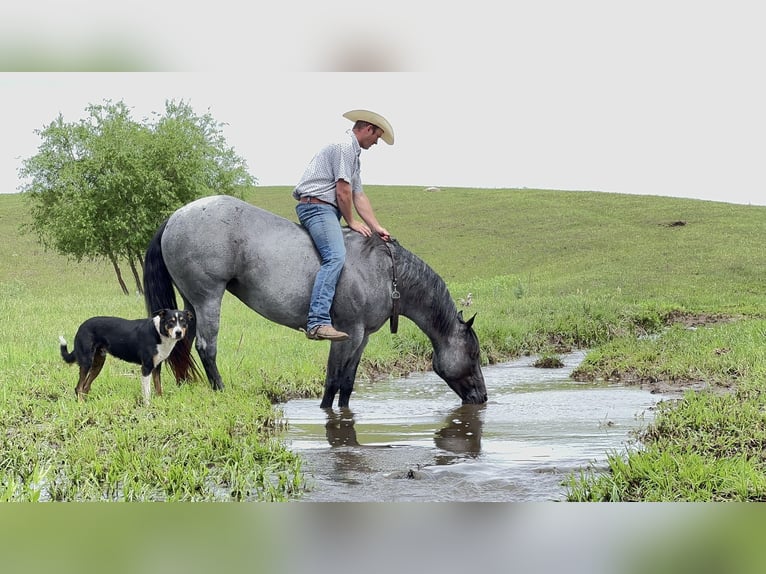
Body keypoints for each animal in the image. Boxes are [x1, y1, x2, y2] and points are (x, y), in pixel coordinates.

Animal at [59, 308, 194, 408]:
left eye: (183, 322)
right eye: (171, 321)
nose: (178, 333)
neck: (159, 333)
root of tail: (81, 326)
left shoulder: (156, 367)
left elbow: (158, 388)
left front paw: (160, 402)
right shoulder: (146, 367)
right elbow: (147, 392)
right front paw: (148, 407)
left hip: (98, 363)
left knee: (85, 387)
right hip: (86, 362)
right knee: (79, 387)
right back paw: (81, 405)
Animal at [146, 197, 486, 410]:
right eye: (474, 353)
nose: (482, 396)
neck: (384, 272)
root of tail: (176, 216)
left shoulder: (362, 338)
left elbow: (347, 382)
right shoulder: (346, 333)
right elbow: (332, 381)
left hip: (190, 303)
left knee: (183, 343)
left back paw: (187, 386)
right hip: (208, 298)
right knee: (206, 347)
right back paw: (219, 390)